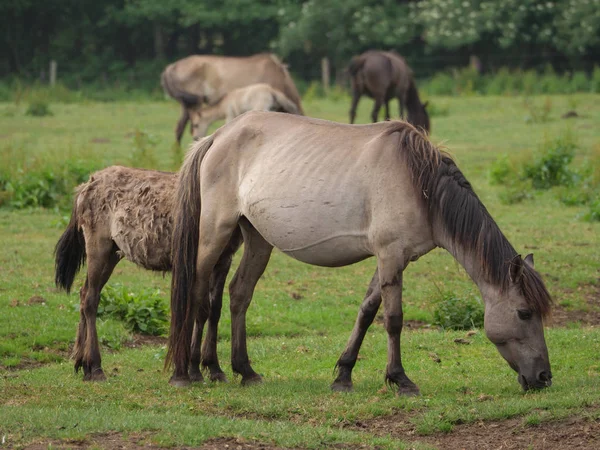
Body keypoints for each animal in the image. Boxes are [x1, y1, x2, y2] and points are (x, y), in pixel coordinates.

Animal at [164, 112, 552, 394]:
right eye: (524, 313)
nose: (544, 377)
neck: (421, 185)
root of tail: (217, 136)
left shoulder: (393, 259)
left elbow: (367, 311)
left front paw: (343, 375)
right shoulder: (390, 255)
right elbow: (393, 319)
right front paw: (400, 379)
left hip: (255, 239)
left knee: (237, 294)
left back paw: (238, 370)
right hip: (215, 233)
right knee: (198, 293)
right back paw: (187, 373)